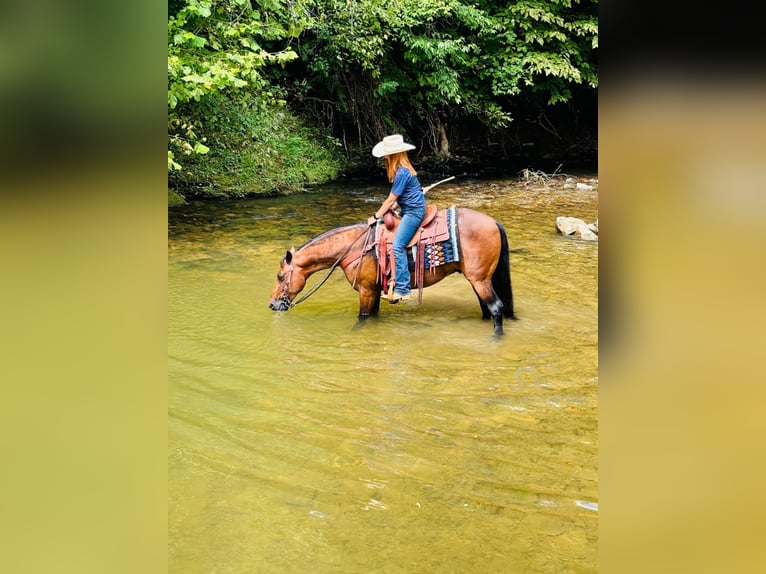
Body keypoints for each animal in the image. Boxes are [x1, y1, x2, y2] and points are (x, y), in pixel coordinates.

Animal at [270, 207, 516, 336]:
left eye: (280, 276)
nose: (272, 304)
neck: (354, 246)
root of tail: (493, 222)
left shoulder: (366, 291)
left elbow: (362, 319)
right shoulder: (374, 291)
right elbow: (372, 317)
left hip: (479, 279)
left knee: (496, 307)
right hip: (480, 279)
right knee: (487, 308)